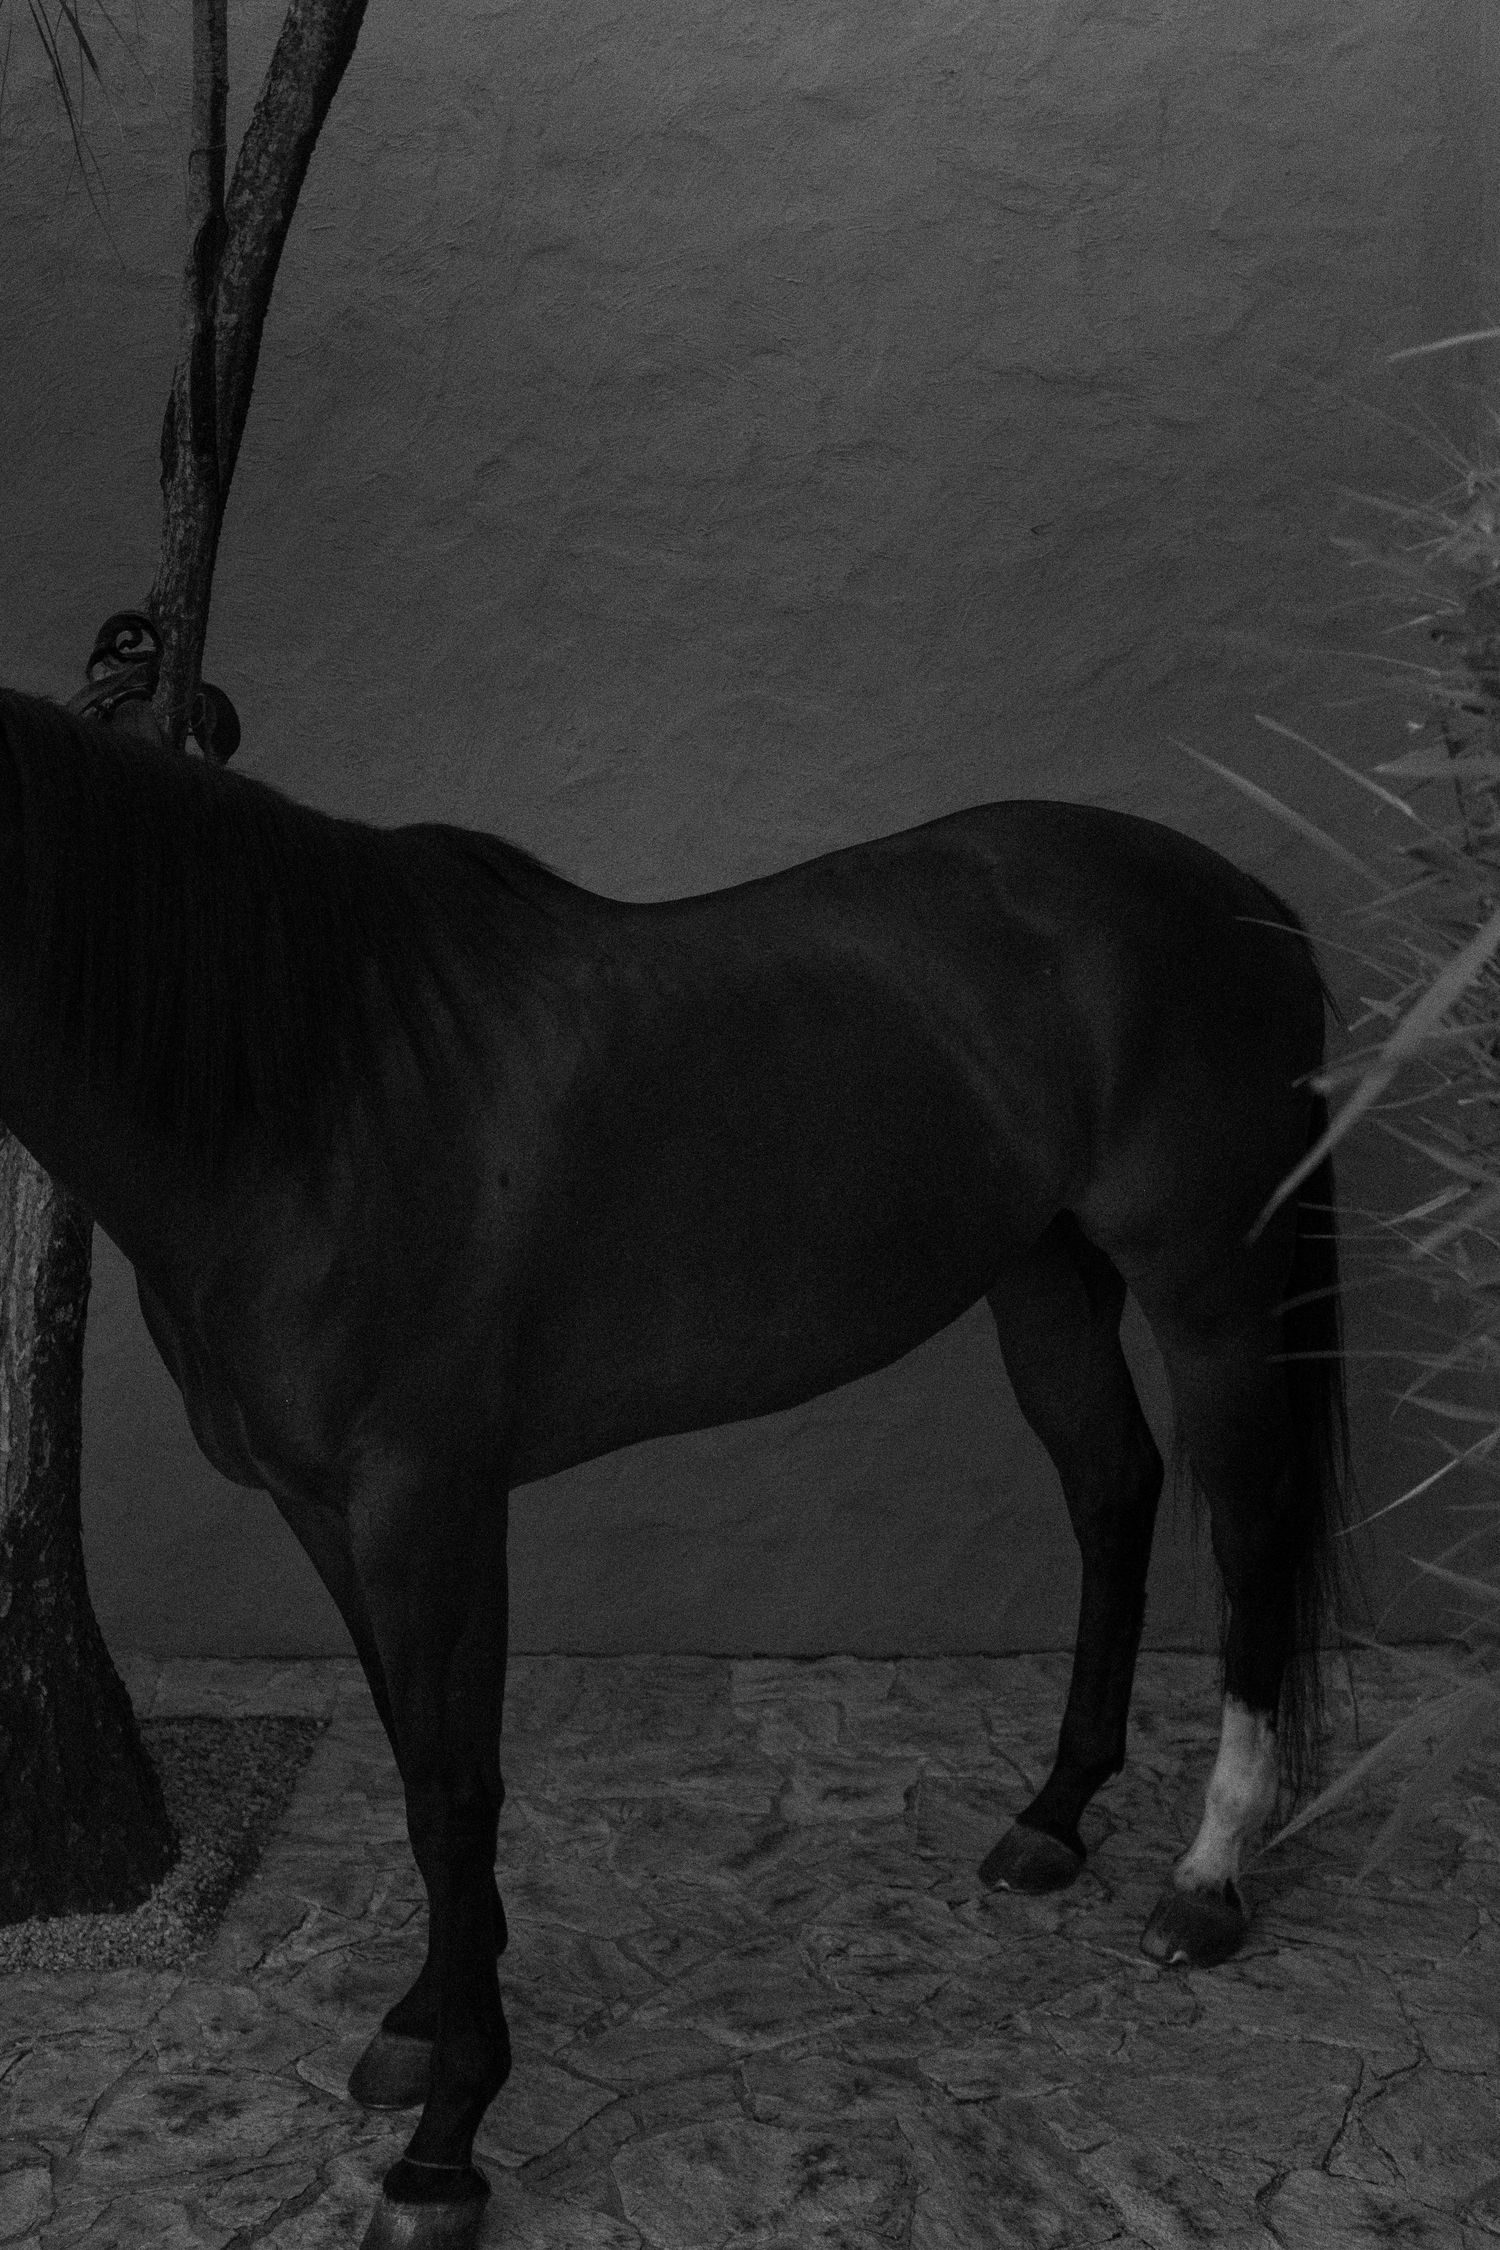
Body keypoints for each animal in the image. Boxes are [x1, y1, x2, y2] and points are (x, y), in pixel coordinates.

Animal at [0, 687, 1348, 2249]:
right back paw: (1053, 1818)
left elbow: (451, 1791)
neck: (313, 1087)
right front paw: (423, 2022)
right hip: (1045, 1275)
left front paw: (446, 2141)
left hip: (1213, 1291)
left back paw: (1208, 1877)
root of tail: (1247, 897)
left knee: (1249, 1534)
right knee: (1112, 1492)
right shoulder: (323, 1511)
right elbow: (411, 1756)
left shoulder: (426, 1505)